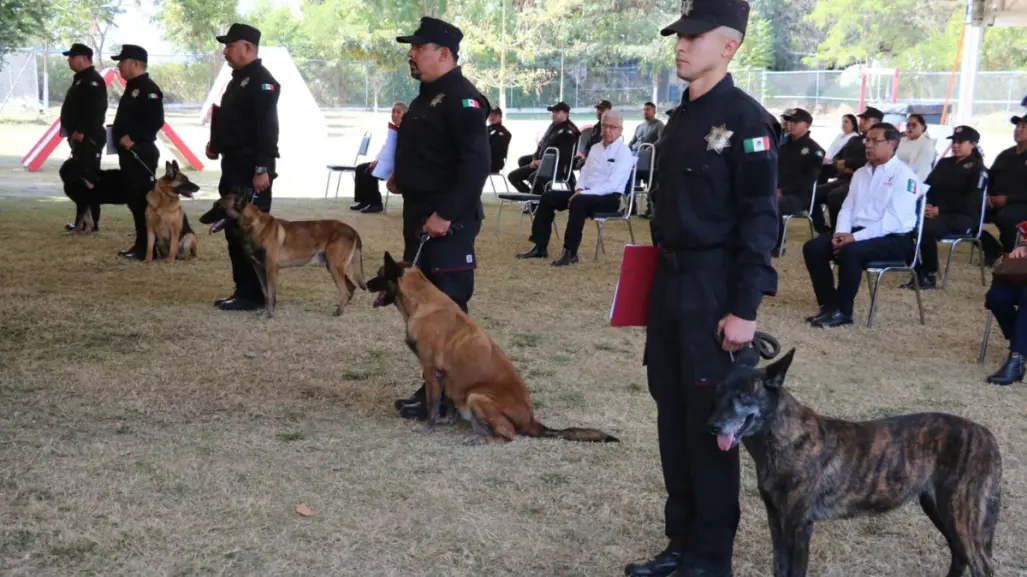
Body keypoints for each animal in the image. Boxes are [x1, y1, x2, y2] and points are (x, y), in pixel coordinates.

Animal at [196, 189, 365, 316]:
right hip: (332, 267)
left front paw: (269, 314)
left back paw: (338, 312)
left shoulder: (271, 269)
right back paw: (342, 309)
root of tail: (353, 230)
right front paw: (265, 311)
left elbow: (271, 293)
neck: (253, 226)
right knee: (350, 288)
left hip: (335, 267)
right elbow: (265, 293)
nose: (200, 219)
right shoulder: (259, 269)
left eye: (218, 207)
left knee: (345, 291)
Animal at [367, 251, 616, 445]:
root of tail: (532, 421)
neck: (422, 301)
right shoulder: (447, 375)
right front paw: (446, 421)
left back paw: (481, 439)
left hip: (477, 397)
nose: (365, 284)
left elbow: (432, 404)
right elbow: (447, 402)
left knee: (508, 435)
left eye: (379, 273)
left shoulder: (430, 371)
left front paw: (428, 427)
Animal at [710, 344, 998, 574]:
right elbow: (779, 568)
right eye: (719, 392)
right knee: (959, 557)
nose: (712, 426)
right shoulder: (776, 522)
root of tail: (986, 435)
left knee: (981, 566)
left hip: (962, 519)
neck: (784, 434)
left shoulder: (799, 526)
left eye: (743, 396)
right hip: (940, 511)